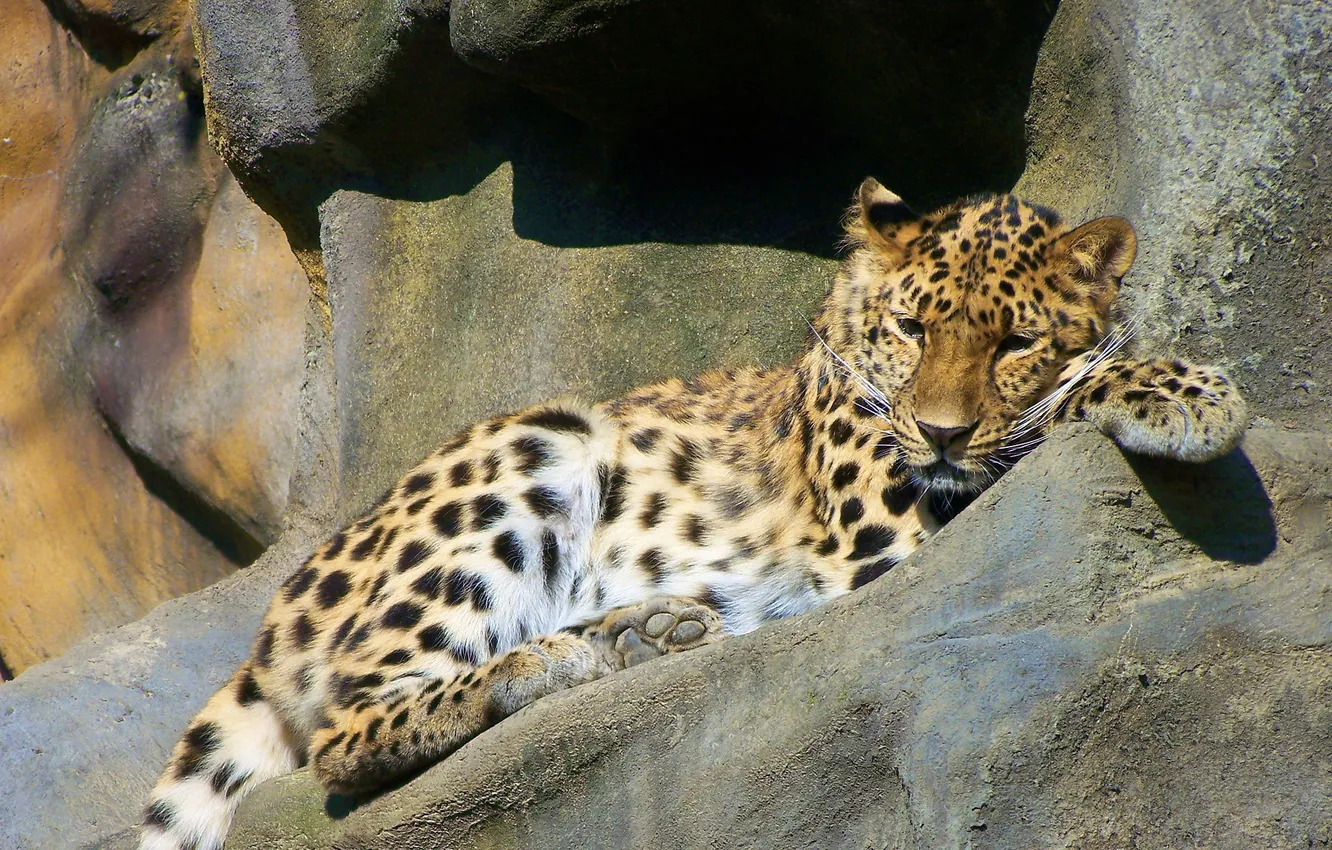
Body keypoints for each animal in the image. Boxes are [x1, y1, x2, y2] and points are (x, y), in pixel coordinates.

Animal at [138, 179, 1247, 850]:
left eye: (1014, 340)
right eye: (911, 327)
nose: (936, 431)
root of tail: (274, 621)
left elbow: (1044, 405)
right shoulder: (885, 536)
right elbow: (1051, 418)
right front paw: (1187, 389)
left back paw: (650, 631)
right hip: (542, 439)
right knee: (349, 725)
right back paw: (553, 664)